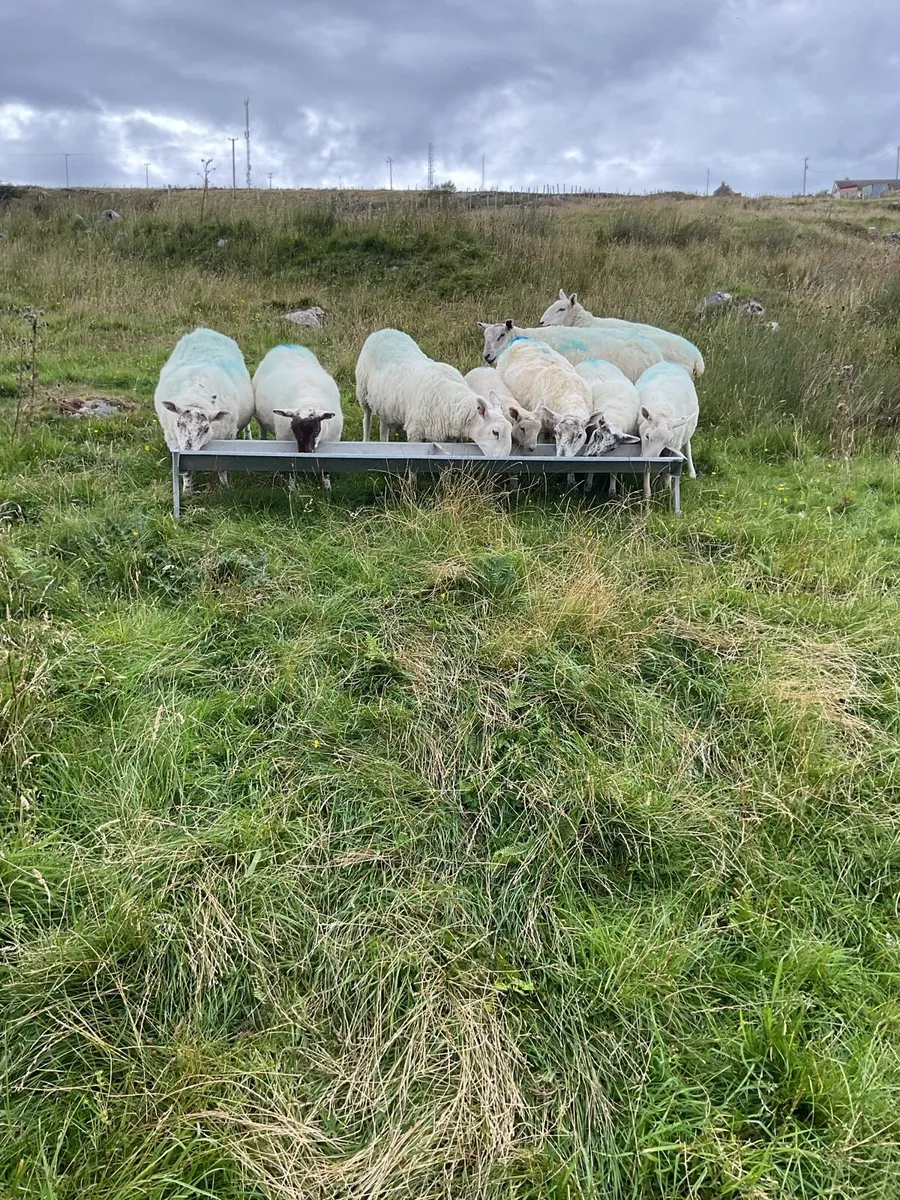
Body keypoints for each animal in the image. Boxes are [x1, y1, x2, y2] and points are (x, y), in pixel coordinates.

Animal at [154, 327, 255, 495]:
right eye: (178, 423)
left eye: (206, 429)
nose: (188, 450)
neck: (196, 396)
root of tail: (204, 330)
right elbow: (187, 471)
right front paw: (187, 492)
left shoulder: (226, 438)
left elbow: (222, 467)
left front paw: (225, 487)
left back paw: (249, 437)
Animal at [356, 329, 512, 455]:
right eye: (495, 432)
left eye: (511, 431)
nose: (503, 459)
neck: (451, 400)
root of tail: (383, 330)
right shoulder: (415, 433)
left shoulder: (449, 438)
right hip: (362, 391)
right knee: (367, 418)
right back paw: (366, 441)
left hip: (384, 403)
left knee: (383, 425)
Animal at [635, 362, 699, 498]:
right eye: (647, 436)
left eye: (667, 441)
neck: (662, 412)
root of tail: (668, 362)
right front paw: (647, 495)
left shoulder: (674, 444)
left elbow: (668, 471)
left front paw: (666, 489)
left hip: (688, 430)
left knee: (688, 446)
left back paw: (692, 472)